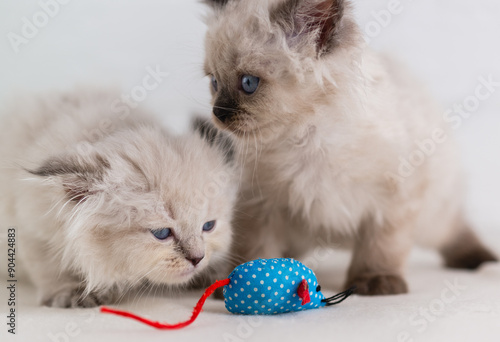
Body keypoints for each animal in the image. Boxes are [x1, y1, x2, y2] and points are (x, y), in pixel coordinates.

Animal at [0, 88, 237, 308]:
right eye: (161, 233)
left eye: (208, 226)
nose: (197, 259)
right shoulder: (32, 226)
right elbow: (50, 265)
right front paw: (70, 293)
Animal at [203, 0, 496, 294]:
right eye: (214, 82)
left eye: (248, 83)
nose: (218, 113)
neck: (305, 138)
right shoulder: (260, 204)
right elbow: (255, 251)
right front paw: (242, 285)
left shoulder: (392, 199)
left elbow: (381, 247)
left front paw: (375, 281)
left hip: (434, 218)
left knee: (455, 230)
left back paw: (481, 260)